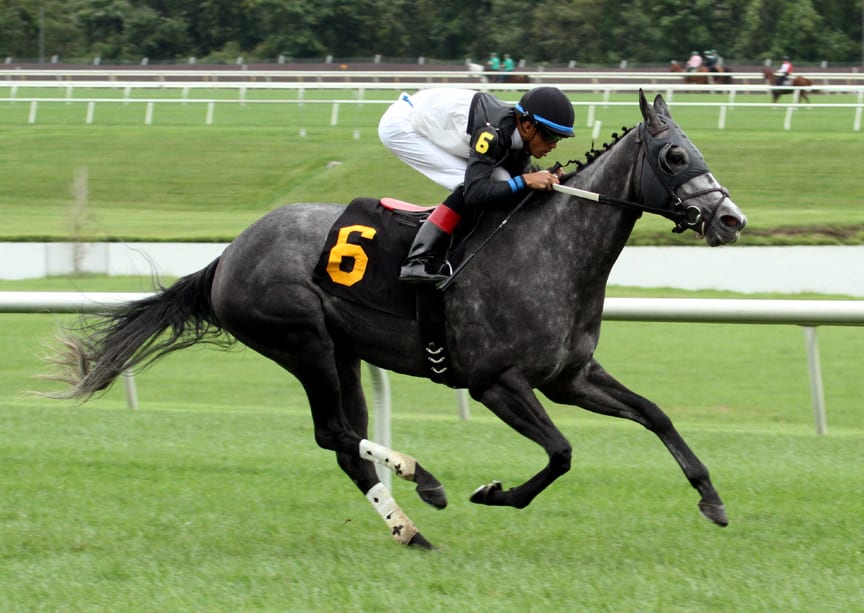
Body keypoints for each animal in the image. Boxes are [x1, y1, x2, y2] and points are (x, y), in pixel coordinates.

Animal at [47, 91, 744, 548]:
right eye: (675, 157)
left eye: (696, 149)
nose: (731, 219)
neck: (546, 253)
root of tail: (229, 254)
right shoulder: (496, 383)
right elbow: (562, 452)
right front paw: (494, 493)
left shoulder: (569, 377)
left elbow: (655, 414)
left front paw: (710, 497)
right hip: (301, 341)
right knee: (333, 432)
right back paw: (422, 478)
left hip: (343, 353)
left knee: (345, 445)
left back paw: (410, 530)